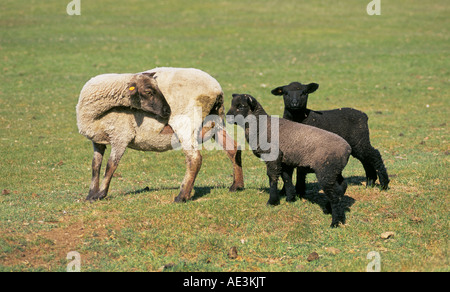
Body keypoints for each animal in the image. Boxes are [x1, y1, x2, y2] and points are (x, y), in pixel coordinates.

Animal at [78, 67, 246, 202]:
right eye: (148, 91)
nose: (167, 110)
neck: (96, 113)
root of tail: (217, 90)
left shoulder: (121, 136)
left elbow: (110, 165)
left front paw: (100, 194)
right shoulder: (97, 141)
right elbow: (95, 165)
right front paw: (90, 194)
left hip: (187, 124)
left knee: (194, 159)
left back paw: (182, 196)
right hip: (214, 122)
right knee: (232, 148)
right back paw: (237, 185)